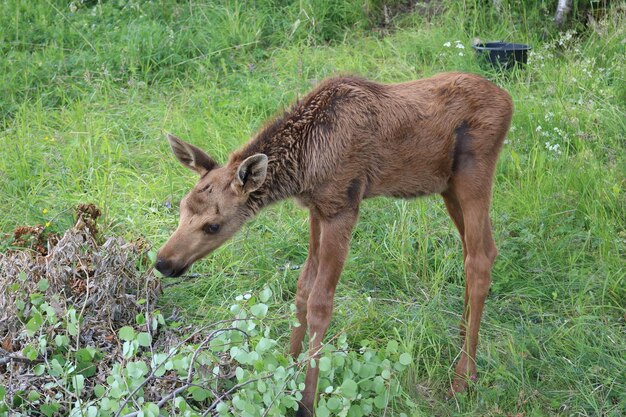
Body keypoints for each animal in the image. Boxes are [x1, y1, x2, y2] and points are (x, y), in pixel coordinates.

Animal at [156, 73, 512, 414]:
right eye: (183, 206)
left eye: (213, 225)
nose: (163, 262)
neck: (302, 165)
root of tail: (509, 102)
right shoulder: (317, 208)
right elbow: (302, 288)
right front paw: (286, 371)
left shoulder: (343, 205)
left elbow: (320, 303)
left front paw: (306, 401)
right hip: (447, 186)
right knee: (481, 250)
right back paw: (463, 345)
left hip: (473, 173)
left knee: (479, 259)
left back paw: (464, 377)